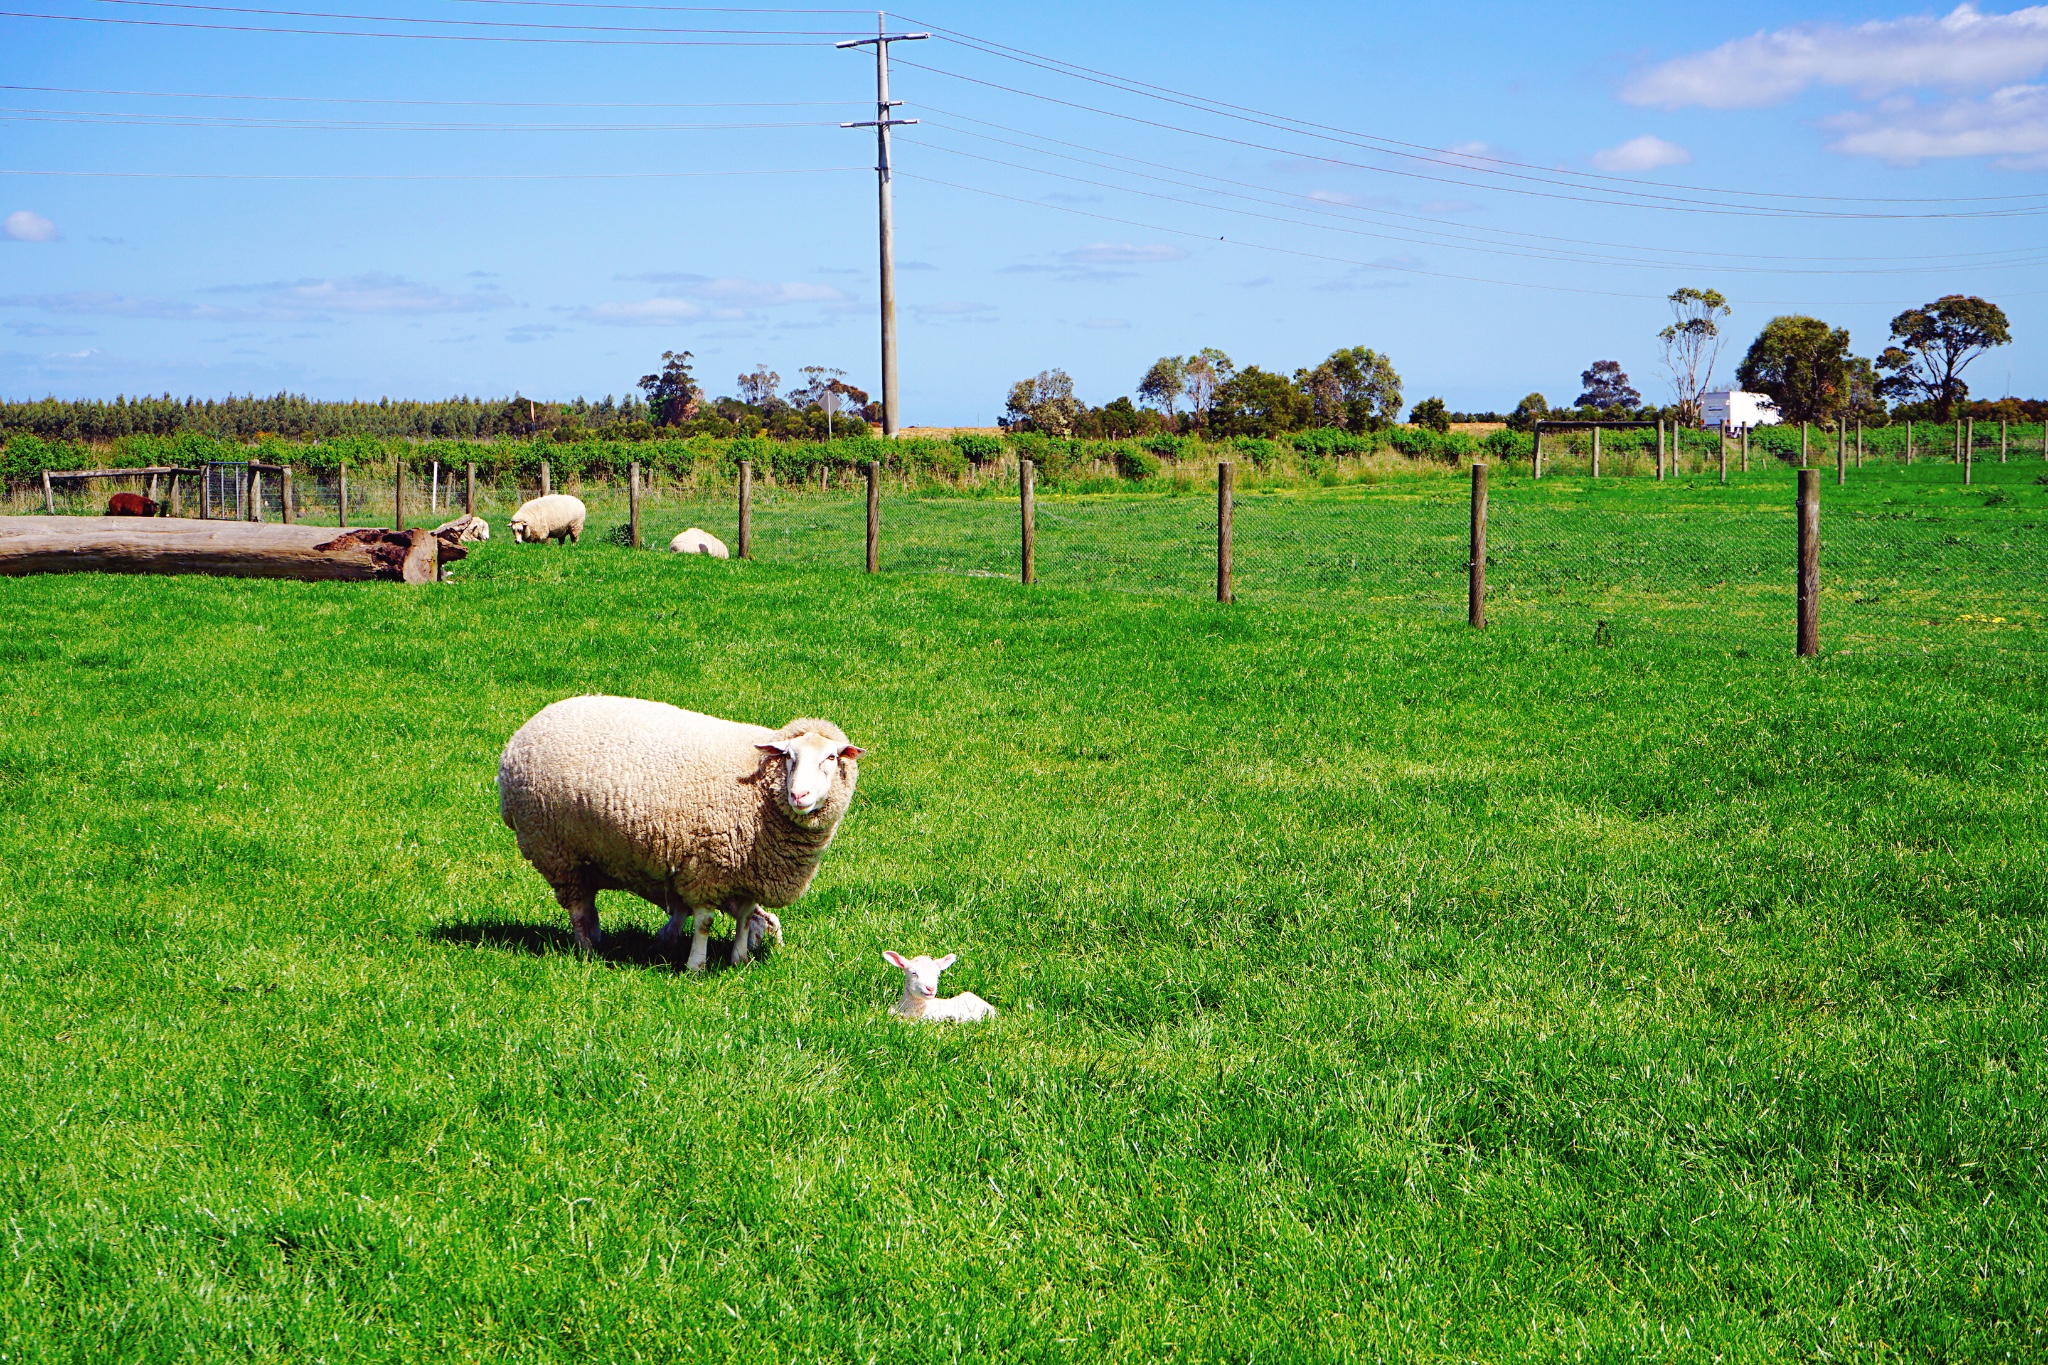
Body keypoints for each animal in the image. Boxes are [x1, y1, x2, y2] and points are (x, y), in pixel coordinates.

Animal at [497, 699, 864, 978]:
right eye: (789, 756)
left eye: (831, 757)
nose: (799, 795)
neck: (759, 789)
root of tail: (520, 735)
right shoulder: (706, 868)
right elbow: (704, 922)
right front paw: (696, 966)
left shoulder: (746, 873)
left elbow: (745, 919)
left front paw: (739, 959)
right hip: (556, 851)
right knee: (577, 908)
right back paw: (587, 951)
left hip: (582, 856)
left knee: (587, 903)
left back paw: (598, 941)